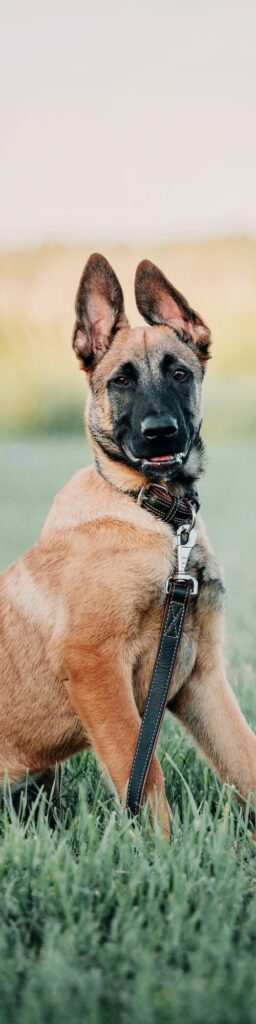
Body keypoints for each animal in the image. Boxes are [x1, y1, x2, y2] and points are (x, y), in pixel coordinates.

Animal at [0, 251, 256, 835]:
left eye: (180, 373)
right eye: (121, 381)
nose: (160, 432)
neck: (157, 515)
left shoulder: (200, 675)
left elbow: (245, 757)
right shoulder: (94, 664)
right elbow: (142, 771)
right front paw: (162, 847)